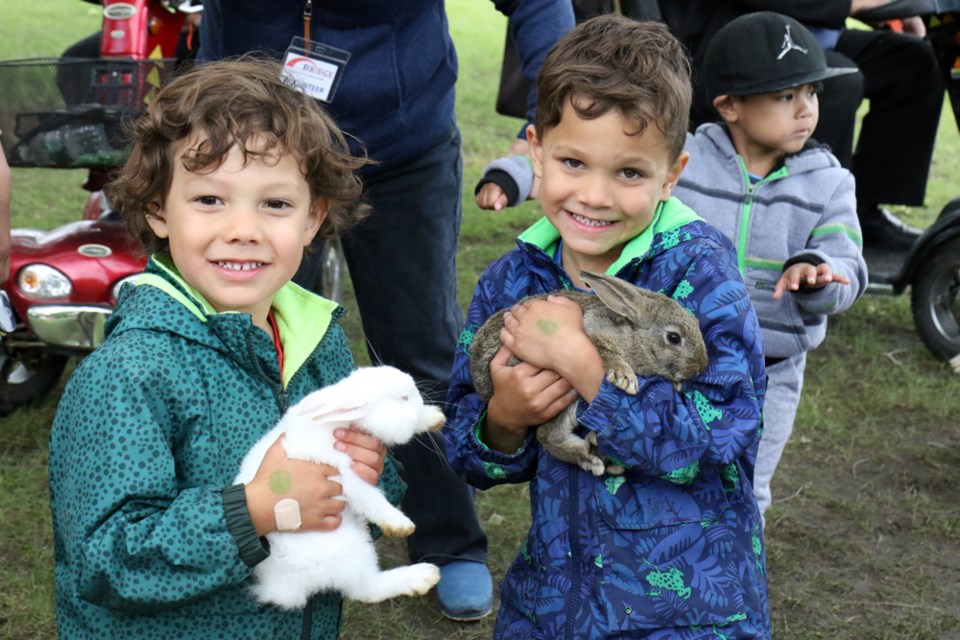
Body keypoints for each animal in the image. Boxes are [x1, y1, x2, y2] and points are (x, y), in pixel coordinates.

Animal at [234, 364, 444, 608]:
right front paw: (401, 524)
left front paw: (434, 416)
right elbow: (372, 500)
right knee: (366, 589)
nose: (418, 391)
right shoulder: (345, 476)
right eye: (404, 398)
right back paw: (423, 576)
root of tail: (281, 586)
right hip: (352, 550)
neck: (341, 423)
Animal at [468, 270, 708, 476]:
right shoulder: (596, 329)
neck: (636, 337)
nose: (701, 366)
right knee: (547, 435)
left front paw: (677, 385)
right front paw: (624, 377)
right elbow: (606, 351)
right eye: (674, 338)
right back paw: (591, 457)